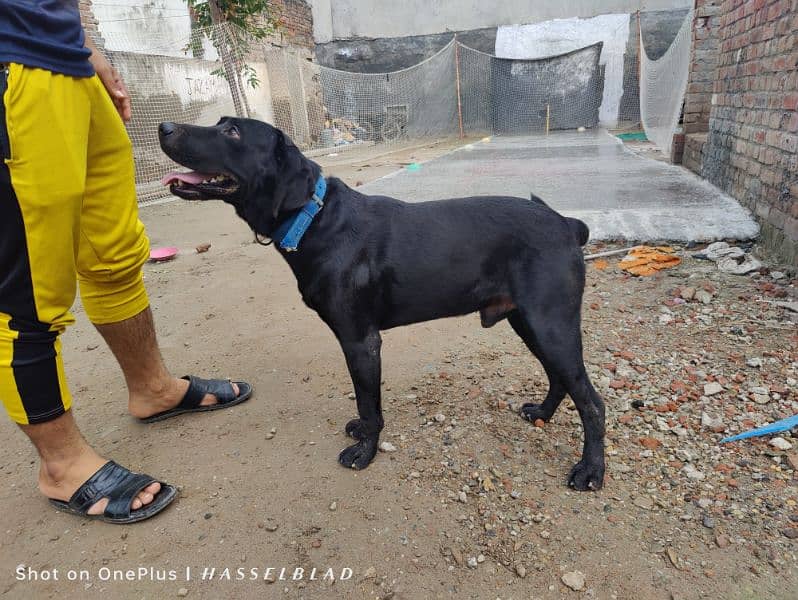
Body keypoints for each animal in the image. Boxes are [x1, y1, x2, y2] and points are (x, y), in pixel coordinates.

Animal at [156, 118, 608, 492]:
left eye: (232, 131)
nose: (163, 127)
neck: (314, 218)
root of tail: (567, 224)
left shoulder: (361, 341)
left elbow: (368, 402)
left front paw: (365, 451)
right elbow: (364, 401)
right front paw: (362, 433)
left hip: (550, 324)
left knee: (592, 401)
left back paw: (591, 470)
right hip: (529, 322)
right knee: (560, 379)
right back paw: (543, 413)